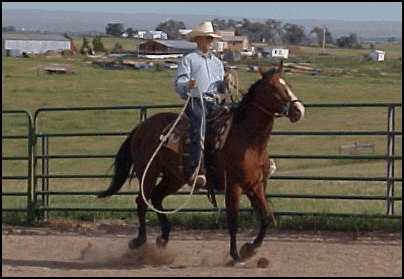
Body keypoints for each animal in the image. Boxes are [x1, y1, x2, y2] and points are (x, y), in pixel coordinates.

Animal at [98, 61, 306, 262]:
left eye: (289, 85)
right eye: (274, 88)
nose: (299, 110)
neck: (248, 141)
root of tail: (142, 126)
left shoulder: (255, 186)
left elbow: (266, 217)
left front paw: (249, 248)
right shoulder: (233, 187)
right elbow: (233, 221)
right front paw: (236, 255)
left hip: (175, 177)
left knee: (156, 197)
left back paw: (163, 238)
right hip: (147, 172)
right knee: (142, 201)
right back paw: (139, 241)